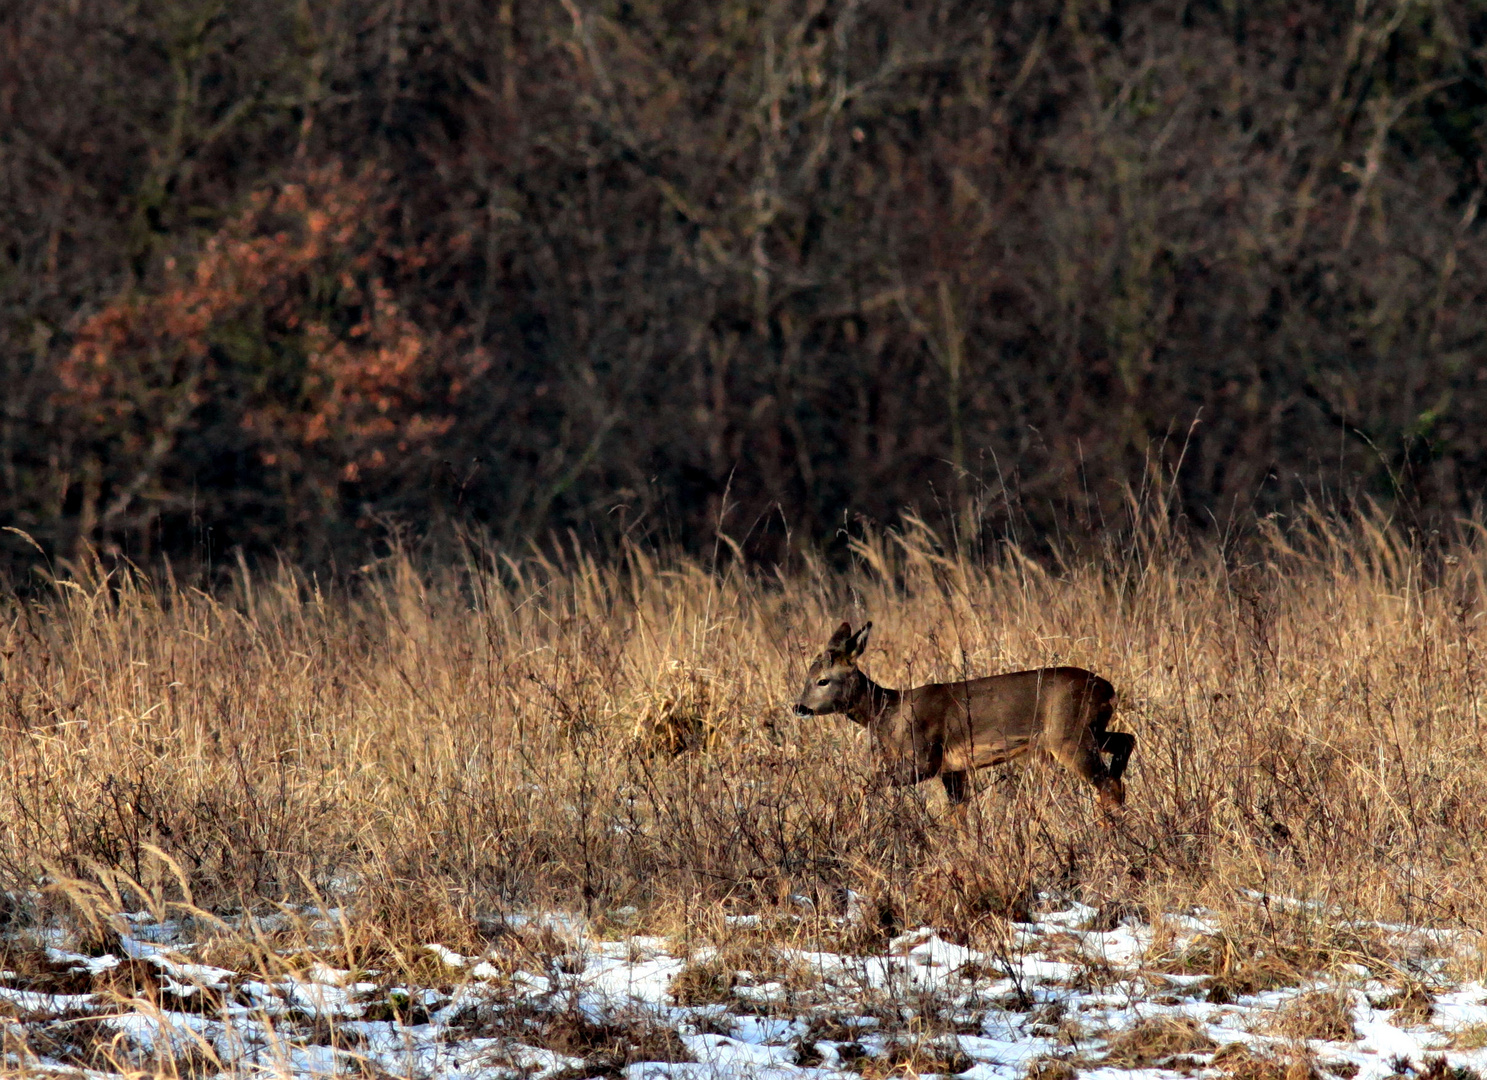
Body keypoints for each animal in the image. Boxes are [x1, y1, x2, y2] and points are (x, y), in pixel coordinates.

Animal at [797, 624, 1130, 809]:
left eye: (823, 680)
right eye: (807, 676)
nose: (799, 707)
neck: (889, 712)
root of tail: (1107, 688)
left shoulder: (924, 758)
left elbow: (866, 785)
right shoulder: (953, 770)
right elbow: (958, 815)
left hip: (1069, 735)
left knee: (1107, 785)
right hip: (1091, 730)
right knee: (1125, 745)